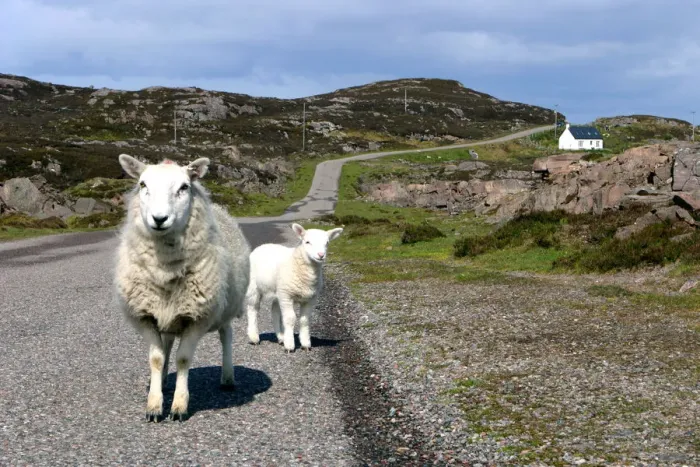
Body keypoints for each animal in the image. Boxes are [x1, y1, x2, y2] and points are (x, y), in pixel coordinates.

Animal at [113, 154, 251, 422]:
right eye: (143, 184)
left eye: (184, 187)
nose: (159, 219)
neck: (165, 268)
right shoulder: (146, 315)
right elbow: (156, 358)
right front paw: (154, 405)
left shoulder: (197, 317)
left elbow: (184, 359)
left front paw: (179, 406)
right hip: (167, 314)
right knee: (167, 343)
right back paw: (164, 380)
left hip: (224, 307)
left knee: (226, 335)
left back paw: (227, 377)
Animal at [245, 223, 343, 352]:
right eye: (307, 242)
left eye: (327, 243)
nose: (321, 255)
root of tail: (262, 246)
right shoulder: (287, 296)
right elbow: (290, 318)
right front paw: (290, 345)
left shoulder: (310, 298)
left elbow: (305, 320)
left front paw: (305, 344)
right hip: (254, 288)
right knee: (253, 310)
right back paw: (254, 337)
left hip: (279, 292)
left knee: (275, 311)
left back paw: (281, 337)